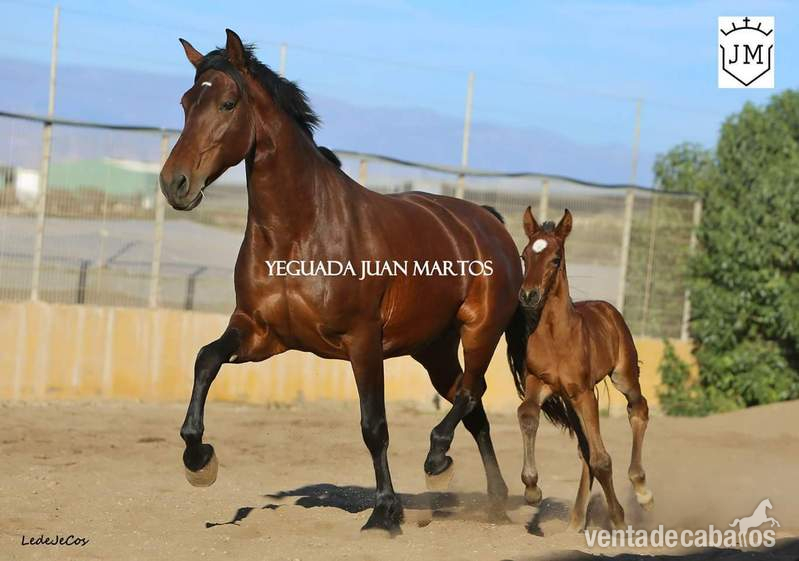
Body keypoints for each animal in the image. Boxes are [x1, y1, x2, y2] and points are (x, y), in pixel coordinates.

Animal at [158, 29, 526, 534]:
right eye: (185, 102)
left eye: (228, 103)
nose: (174, 184)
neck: (299, 233)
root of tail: (488, 222)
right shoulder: (261, 333)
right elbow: (205, 360)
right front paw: (199, 460)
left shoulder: (362, 341)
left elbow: (374, 426)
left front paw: (385, 512)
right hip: (432, 349)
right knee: (475, 411)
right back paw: (493, 499)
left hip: (480, 331)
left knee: (472, 393)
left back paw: (438, 461)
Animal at [506, 207, 653, 531]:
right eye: (524, 255)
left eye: (555, 258)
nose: (528, 295)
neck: (556, 335)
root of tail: (607, 309)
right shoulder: (540, 383)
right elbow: (527, 415)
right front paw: (532, 489)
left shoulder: (584, 392)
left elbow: (602, 459)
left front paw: (619, 519)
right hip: (572, 401)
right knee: (585, 449)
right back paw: (575, 520)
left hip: (622, 375)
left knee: (638, 409)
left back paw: (642, 492)